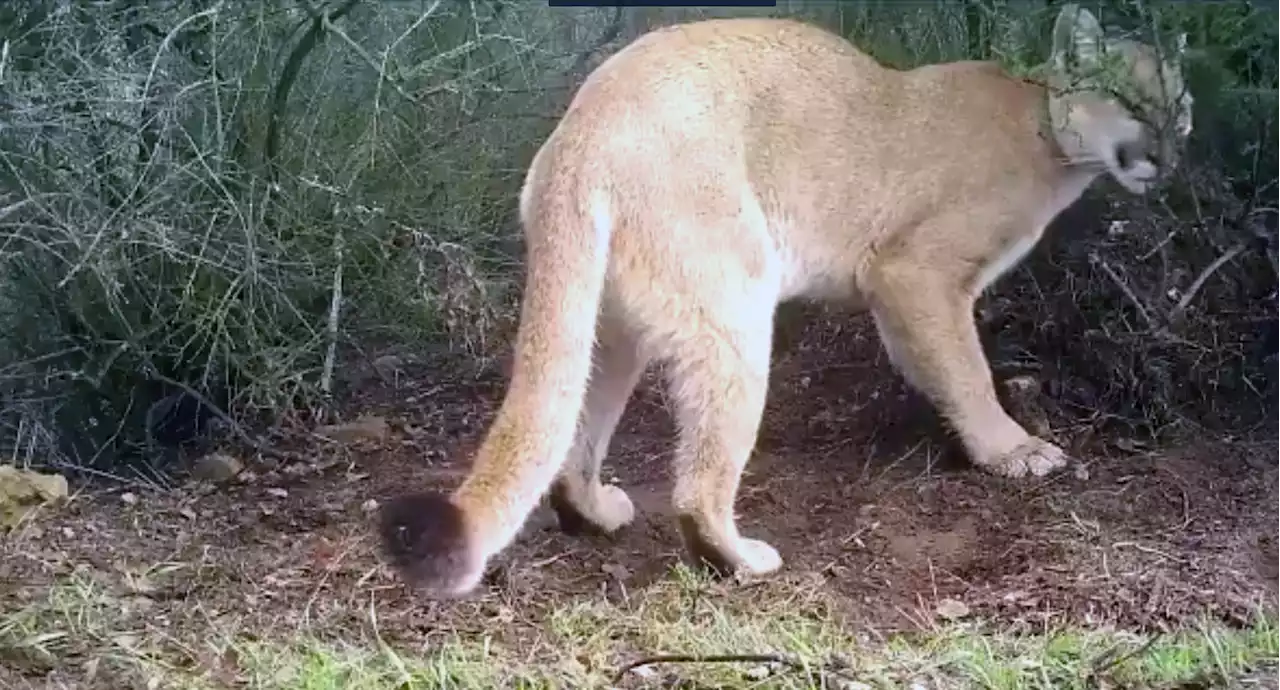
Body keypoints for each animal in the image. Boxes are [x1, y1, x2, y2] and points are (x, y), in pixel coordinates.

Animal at [373, 5, 1192, 596]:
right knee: (698, 484)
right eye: (1125, 97)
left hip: (611, 320)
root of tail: (583, 126)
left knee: (575, 423)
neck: (1043, 131)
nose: (1165, 154)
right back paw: (738, 558)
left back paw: (598, 512)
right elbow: (966, 370)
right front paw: (1010, 450)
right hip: (732, 305)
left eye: (1178, 104)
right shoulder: (914, 271)